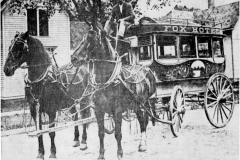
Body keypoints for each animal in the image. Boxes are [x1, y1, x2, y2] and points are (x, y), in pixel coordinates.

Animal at [4, 31, 91, 159]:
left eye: (20, 46)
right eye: (10, 47)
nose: (6, 69)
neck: (41, 80)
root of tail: (84, 67)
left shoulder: (51, 110)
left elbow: (51, 132)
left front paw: (53, 153)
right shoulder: (35, 109)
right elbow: (39, 131)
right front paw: (40, 153)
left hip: (84, 99)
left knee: (84, 118)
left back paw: (84, 142)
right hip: (71, 101)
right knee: (75, 116)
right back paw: (76, 140)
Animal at [70, 29, 156, 160]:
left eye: (91, 39)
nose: (73, 58)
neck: (106, 79)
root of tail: (147, 69)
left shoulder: (117, 110)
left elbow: (118, 133)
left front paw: (119, 153)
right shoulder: (98, 110)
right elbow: (101, 133)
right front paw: (101, 155)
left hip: (144, 103)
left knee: (144, 121)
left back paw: (143, 144)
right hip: (136, 105)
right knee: (142, 120)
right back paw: (141, 144)